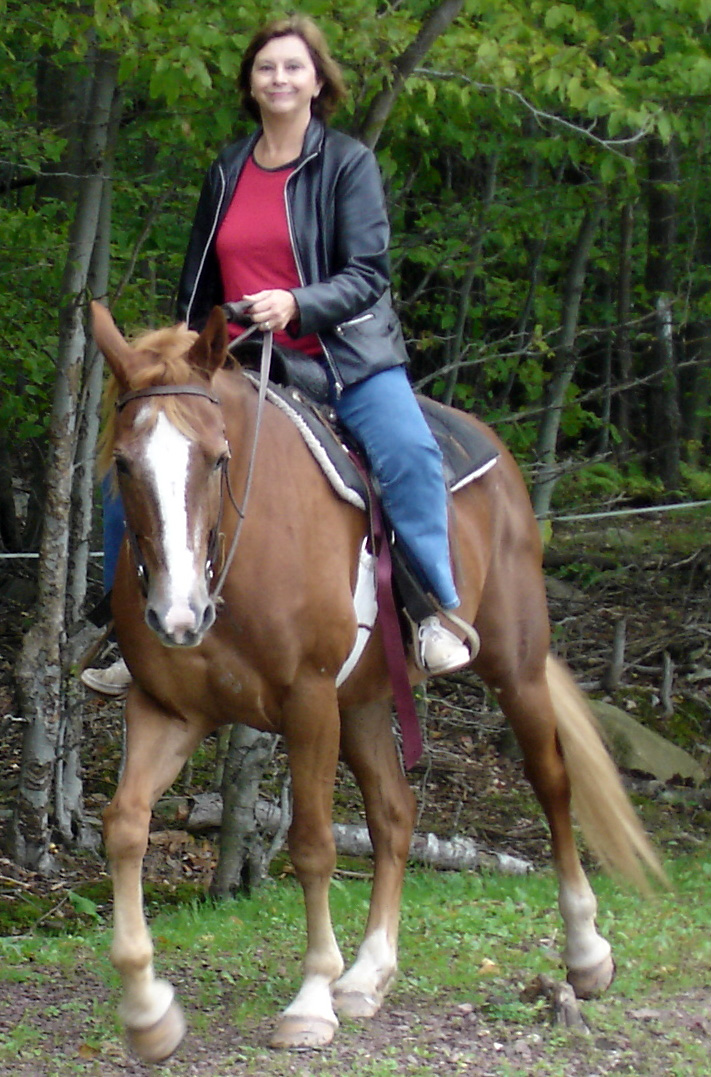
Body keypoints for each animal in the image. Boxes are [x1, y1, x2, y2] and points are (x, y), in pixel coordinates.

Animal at [91, 303, 663, 1059]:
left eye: (217, 458)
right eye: (125, 465)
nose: (178, 615)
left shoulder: (307, 703)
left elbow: (311, 844)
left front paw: (309, 1000)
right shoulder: (167, 710)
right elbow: (126, 824)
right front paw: (147, 1009)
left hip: (515, 666)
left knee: (551, 781)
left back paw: (586, 951)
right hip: (363, 701)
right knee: (396, 814)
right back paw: (368, 974)